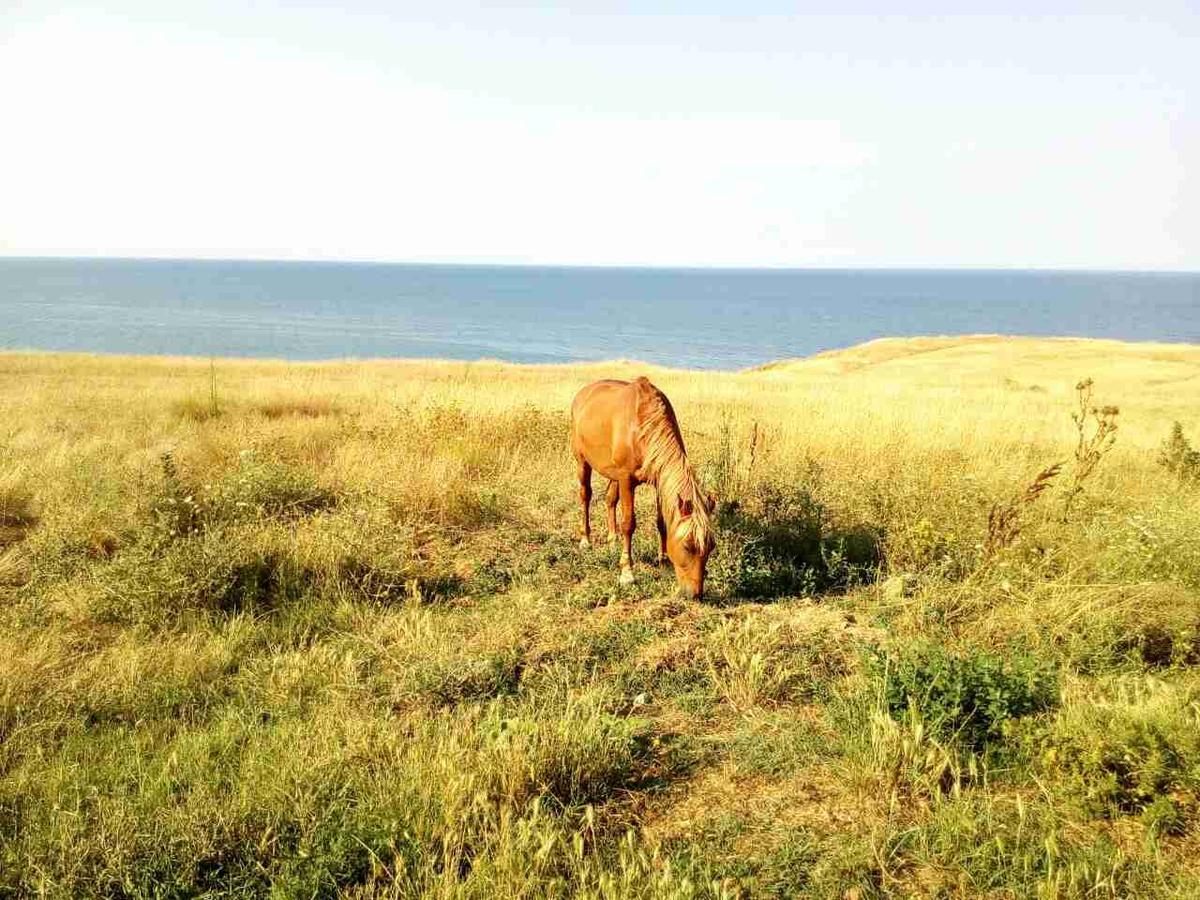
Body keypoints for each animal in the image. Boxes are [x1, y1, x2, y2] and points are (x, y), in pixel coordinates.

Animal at [568, 374, 710, 600]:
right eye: (688, 546)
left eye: (711, 547)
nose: (694, 594)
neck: (644, 425)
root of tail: (583, 392)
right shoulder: (627, 480)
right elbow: (628, 524)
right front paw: (627, 573)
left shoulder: (658, 480)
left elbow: (662, 522)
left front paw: (663, 560)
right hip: (583, 462)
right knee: (585, 496)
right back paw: (585, 539)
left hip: (613, 473)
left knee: (610, 499)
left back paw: (612, 539)